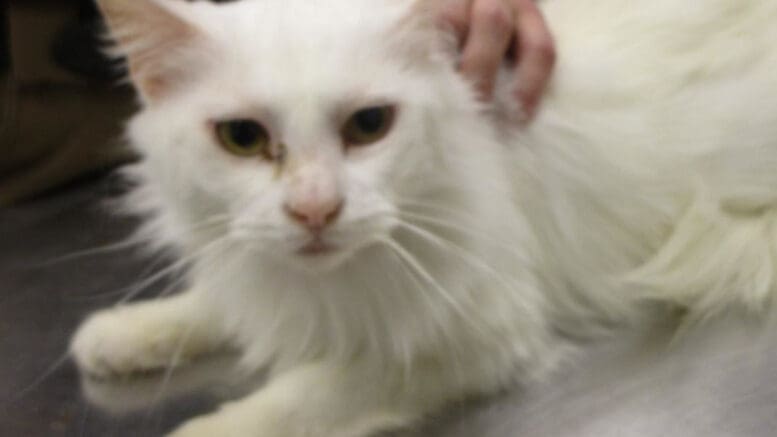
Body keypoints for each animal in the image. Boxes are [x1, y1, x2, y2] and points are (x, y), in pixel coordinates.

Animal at [71, 0, 776, 436]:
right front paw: (118, 335)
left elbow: (297, 400)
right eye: (242, 138)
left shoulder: (477, 338)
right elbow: (215, 304)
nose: (315, 209)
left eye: (369, 126)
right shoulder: (266, 272)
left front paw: (206, 425)